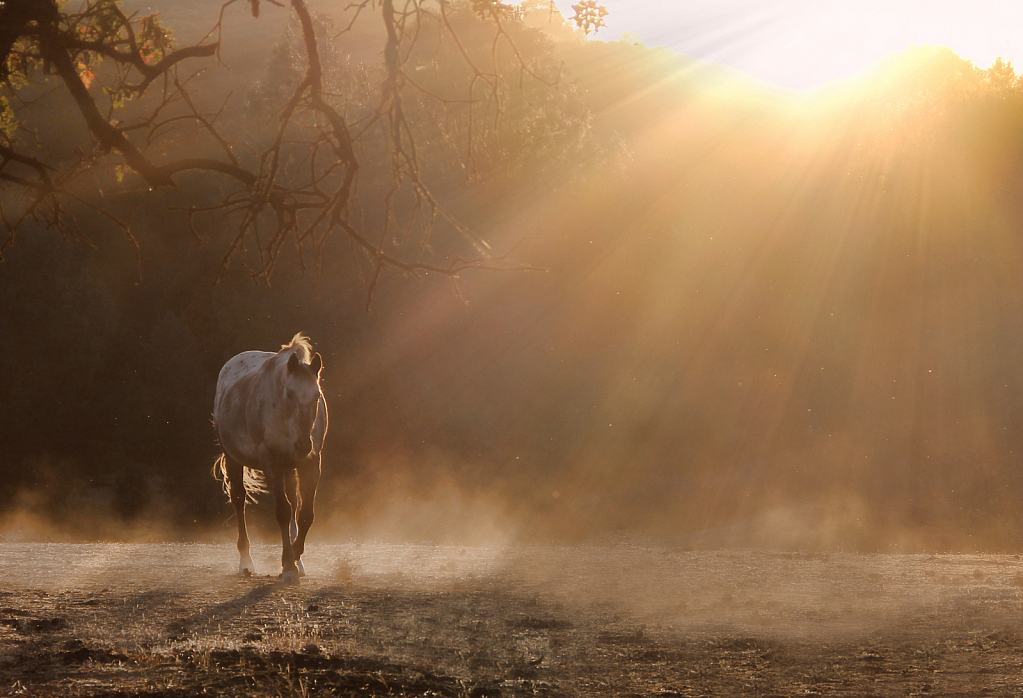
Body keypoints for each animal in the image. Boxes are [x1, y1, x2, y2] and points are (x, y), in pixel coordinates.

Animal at [211, 331, 327, 581]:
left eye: (316, 396)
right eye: (290, 394)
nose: (303, 444)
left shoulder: (311, 463)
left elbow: (305, 514)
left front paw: (294, 558)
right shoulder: (270, 462)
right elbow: (282, 512)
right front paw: (289, 566)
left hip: (289, 468)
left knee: (293, 502)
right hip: (233, 459)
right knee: (239, 500)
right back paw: (246, 562)